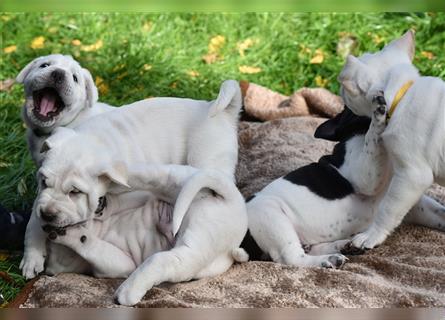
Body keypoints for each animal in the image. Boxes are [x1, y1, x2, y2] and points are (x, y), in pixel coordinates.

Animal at [20, 79, 243, 282]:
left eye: (76, 192)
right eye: (43, 181)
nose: (48, 214)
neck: (95, 139)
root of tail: (220, 111)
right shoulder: (41, 197)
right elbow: (34, 219)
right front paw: (32, 257)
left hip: (209, 158)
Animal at [40, 164, 250, 306]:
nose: (46, 214)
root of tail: (232, 199)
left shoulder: (117, 265)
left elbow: (89, 243)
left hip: (196, 247)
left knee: (163, 260)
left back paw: (128, 291)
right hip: (175, 181)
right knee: (140, 177)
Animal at [243, 99, 444, 268]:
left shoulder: (416, 205)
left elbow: (438, 212)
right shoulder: (365, 176)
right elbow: (372, 140)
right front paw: (378, 115)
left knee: (309, 248)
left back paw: (342, 247)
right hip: (271, 216)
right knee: (291, 257)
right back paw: (326, 260)